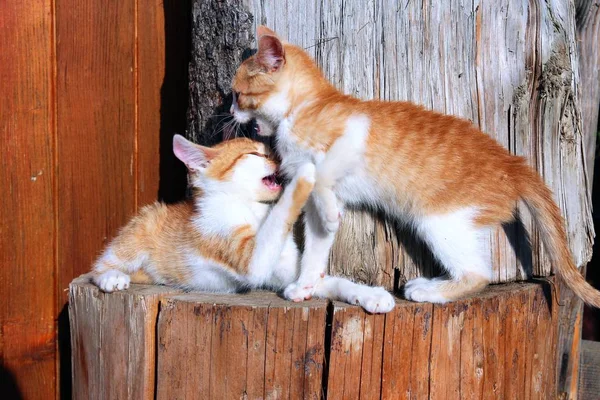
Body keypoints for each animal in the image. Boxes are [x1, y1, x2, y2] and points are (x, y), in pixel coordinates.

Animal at [91, 136, 396, 314]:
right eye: (256, 154)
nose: (278, 157)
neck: (252, 207)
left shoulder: (288, 272)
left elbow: (327, 281)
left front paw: (370, 294)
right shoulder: (249, 258)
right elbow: (280, 214)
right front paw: (306, 171)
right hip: (142, 226)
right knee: (100, 264)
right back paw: (111, 277)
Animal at [230, 25, 600, 306]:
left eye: (237, 94)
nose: (231, 112)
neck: (301, 107)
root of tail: (514, 162)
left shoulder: (355, 132)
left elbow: (321, 175)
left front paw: (332, 216)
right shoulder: (312, 206)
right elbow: (316, 246)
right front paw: (306, 284)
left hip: (439, 220)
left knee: (479, 274)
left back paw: (429, 290)